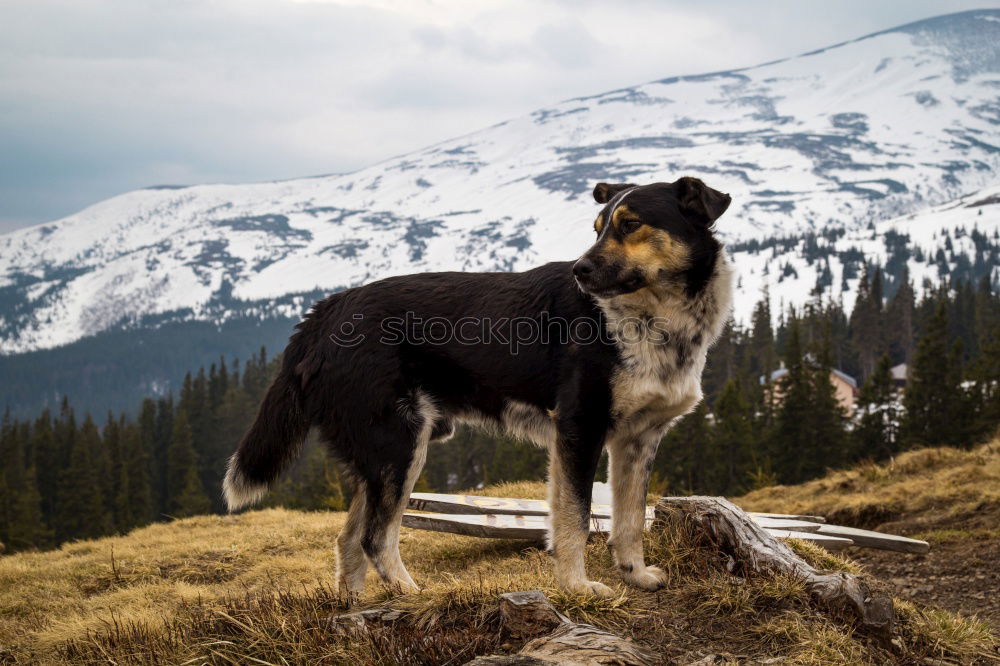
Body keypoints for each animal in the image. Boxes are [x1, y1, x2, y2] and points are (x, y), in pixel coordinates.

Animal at [223, 174, 732, 592]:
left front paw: (635, 575)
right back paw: (412, 595)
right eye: (598, 228)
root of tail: (326, 310)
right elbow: (575, 520)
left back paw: (354, 608)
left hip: (381, 454)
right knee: (374, 539)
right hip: (399, 446)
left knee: (348, 542)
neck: (653, 319)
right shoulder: (578, 430)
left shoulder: (637, 441)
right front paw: (577, 587)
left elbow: (629, 520)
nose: (579, 271)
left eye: (629, 225)